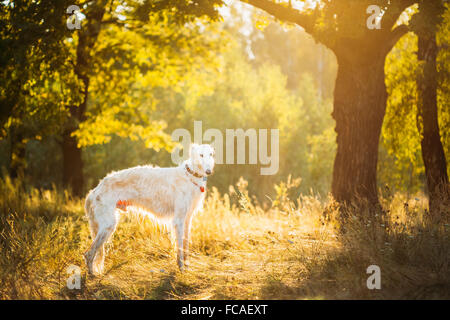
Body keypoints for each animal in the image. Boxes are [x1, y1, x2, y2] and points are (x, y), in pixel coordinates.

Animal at [83, 144, 215, 274]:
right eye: (201, 155)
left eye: (211, 154)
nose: (209, 171)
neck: (190, 175)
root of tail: (94, 191)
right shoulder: (178, 220)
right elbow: (180, 248)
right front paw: (181, 268)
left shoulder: (187, 218)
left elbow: (185, 244)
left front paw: (187, 267)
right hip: (108, 225)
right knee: (88, 253)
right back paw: (92, 275)